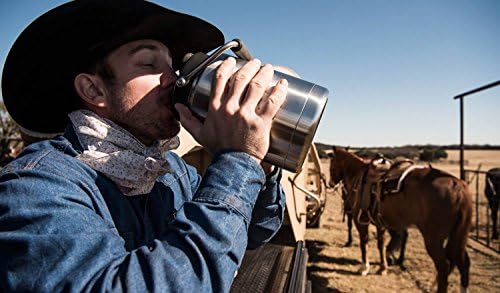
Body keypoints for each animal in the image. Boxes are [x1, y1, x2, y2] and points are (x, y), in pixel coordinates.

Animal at [330, 147, 470, 290]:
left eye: (332, 164)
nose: (330, 183)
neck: (358, 175)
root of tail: (458, 187)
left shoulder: (360, 221)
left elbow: (364, 242)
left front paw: (364, 268)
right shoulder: (380, 223)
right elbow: (381, 244)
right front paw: (383, 268)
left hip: (433, 239)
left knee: (443, 267)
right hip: (458, 236)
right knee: (463, 263)